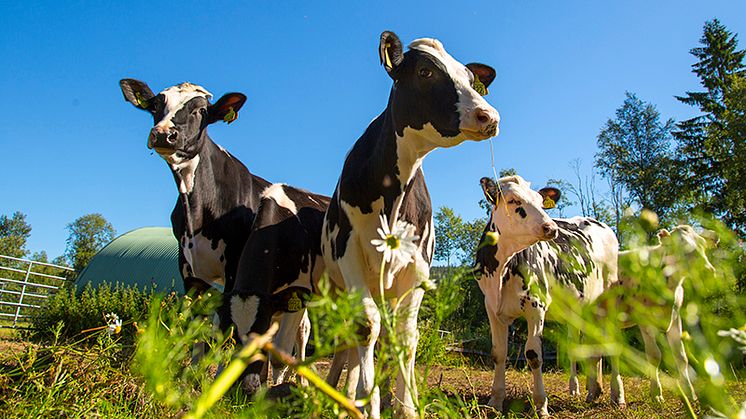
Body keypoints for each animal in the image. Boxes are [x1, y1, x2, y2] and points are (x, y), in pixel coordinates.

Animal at [316, 31, 496, 418]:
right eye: (425, 72)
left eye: (469, 77)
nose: (488, 115)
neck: (391, 194)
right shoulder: (350, 253)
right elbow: (366, 326)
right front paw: (368, 403)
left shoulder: (417, 267)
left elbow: (406, 336)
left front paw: (406, 406)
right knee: (350, 339)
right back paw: (343, 396)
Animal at [474, 176, 620, 418]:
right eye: (513, 200)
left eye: (540, 202)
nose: (550, 227)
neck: (503, 269)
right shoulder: (492, 307)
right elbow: (498, 353)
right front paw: (495, 401)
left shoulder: (536, 304)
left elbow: (533, 354)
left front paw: (541, 405)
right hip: (585, 307)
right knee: (590, 344)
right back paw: (591, 391)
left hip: (610, 297)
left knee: (612, 342)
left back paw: (617, 396)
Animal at [596, 226, 712, 406]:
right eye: (682, 246)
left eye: (703, 245)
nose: (708, 271)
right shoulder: (644, 319)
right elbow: (654, 355)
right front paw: (656, 394)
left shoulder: (675, 317)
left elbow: (681, 356)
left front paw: (690, 393)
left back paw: (595, 389)